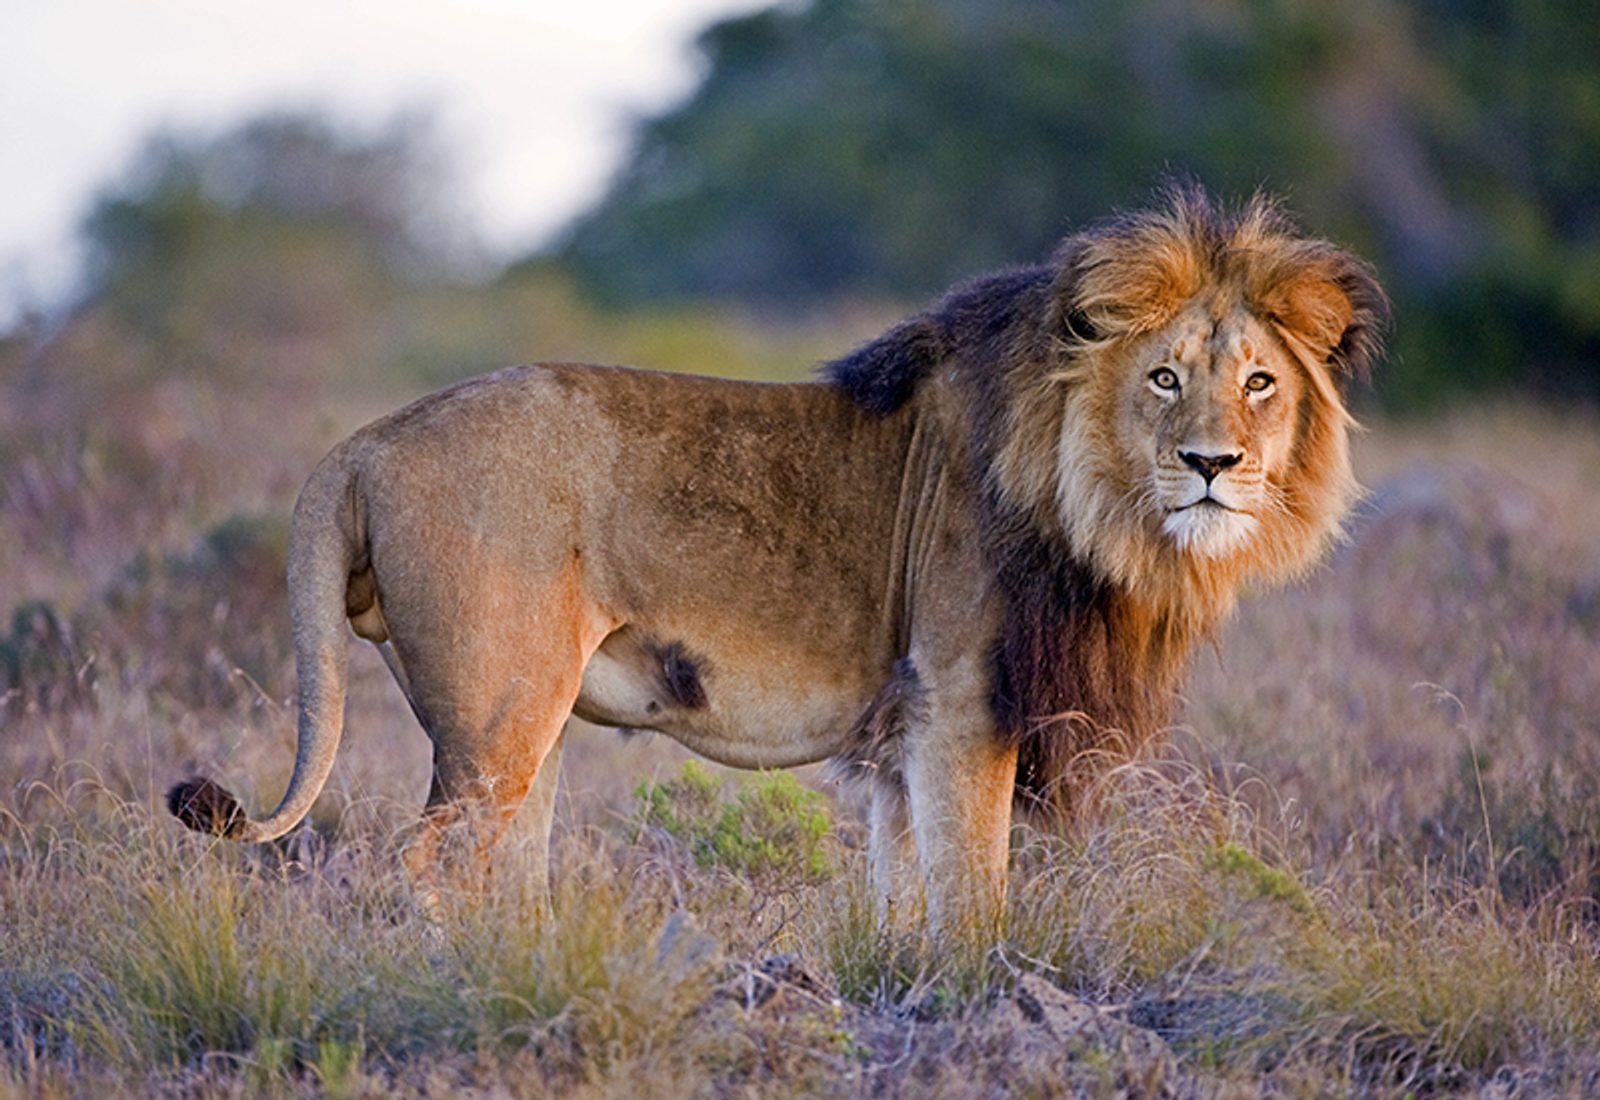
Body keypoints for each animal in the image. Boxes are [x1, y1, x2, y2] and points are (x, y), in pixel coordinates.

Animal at [169, 185, 1386, 933]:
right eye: (1165, 377)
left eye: (1260, 383)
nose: (1213, 464)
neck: (1102, 511)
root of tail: (367, 438)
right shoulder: (961, 702)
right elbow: (974, 896)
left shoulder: (904, 731)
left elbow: (905, 895)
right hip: (499, 705)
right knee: (430, 862)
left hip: (526, 724)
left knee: (507, 876)